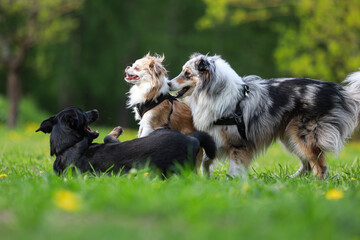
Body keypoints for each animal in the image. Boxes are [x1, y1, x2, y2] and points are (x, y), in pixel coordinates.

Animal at [36, 108, 215, 175]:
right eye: (82, 113)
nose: (95, 110)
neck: (66, 147)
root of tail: (191, 140)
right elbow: (108, 137)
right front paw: (116, 130)